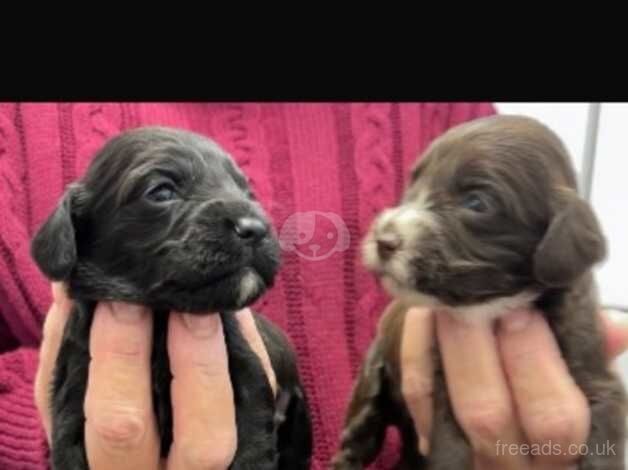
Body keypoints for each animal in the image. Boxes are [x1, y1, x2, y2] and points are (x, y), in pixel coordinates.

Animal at [30, 126, 312, 468]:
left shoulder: (248, 378)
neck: (161, 318)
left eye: (248, 193)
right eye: (162, 192)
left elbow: (253, 448)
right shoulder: (72, 396)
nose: (256, 228)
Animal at [332, 114, 624, 470]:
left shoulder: (596, 375)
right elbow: (449, 448)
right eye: (413, 184)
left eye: (476, 202)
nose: (383, 240)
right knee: (358, 436)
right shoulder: (442, 387)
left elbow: (604, 435)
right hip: (372, 382)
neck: (494, 306)